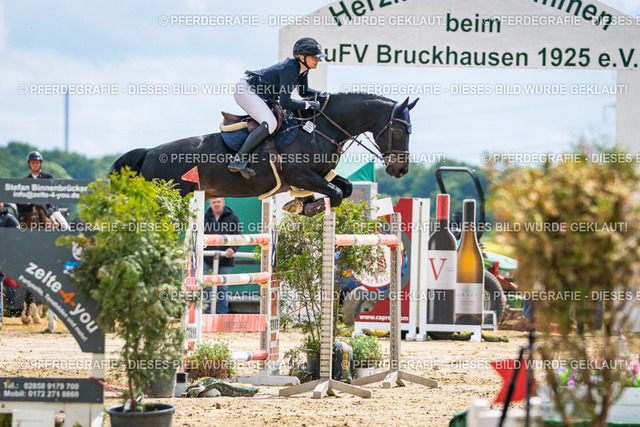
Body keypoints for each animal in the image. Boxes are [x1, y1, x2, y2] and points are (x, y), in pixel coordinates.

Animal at [111, 93, 418, 215]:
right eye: (400, 130)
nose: (401, 170)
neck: (322, 127)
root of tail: (149, 153)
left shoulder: (320, 174)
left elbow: (345, 187)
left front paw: (302, 205)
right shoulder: (301, 175)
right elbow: (335, 193)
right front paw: (310, 207)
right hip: (169, 200)